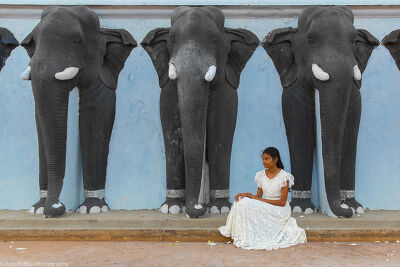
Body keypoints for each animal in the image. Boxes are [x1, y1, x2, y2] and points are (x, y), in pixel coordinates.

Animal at [21, 6, 137, 219]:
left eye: (77, 40)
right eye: (35, 40)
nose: (57, 207)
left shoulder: (100, 77)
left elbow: (95, 119)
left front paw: (93, 209)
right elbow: (40, 122)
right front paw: (38, 209)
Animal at [141, 6, 260, 219]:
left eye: (215, 40)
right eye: (172, 39)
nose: (198, 207)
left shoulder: (227, 95)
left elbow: (220, 136)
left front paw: (220, 208)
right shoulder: (167, 95)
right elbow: (173, 136)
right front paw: (172, 208)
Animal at [260, 6, 380, 219]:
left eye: (353, 41)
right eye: (310, 41)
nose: (344, 212)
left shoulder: (356, 95)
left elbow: (351, 129)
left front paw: (354, 207)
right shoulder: (294, 89)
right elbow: (301, 129)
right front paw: (301, 209)